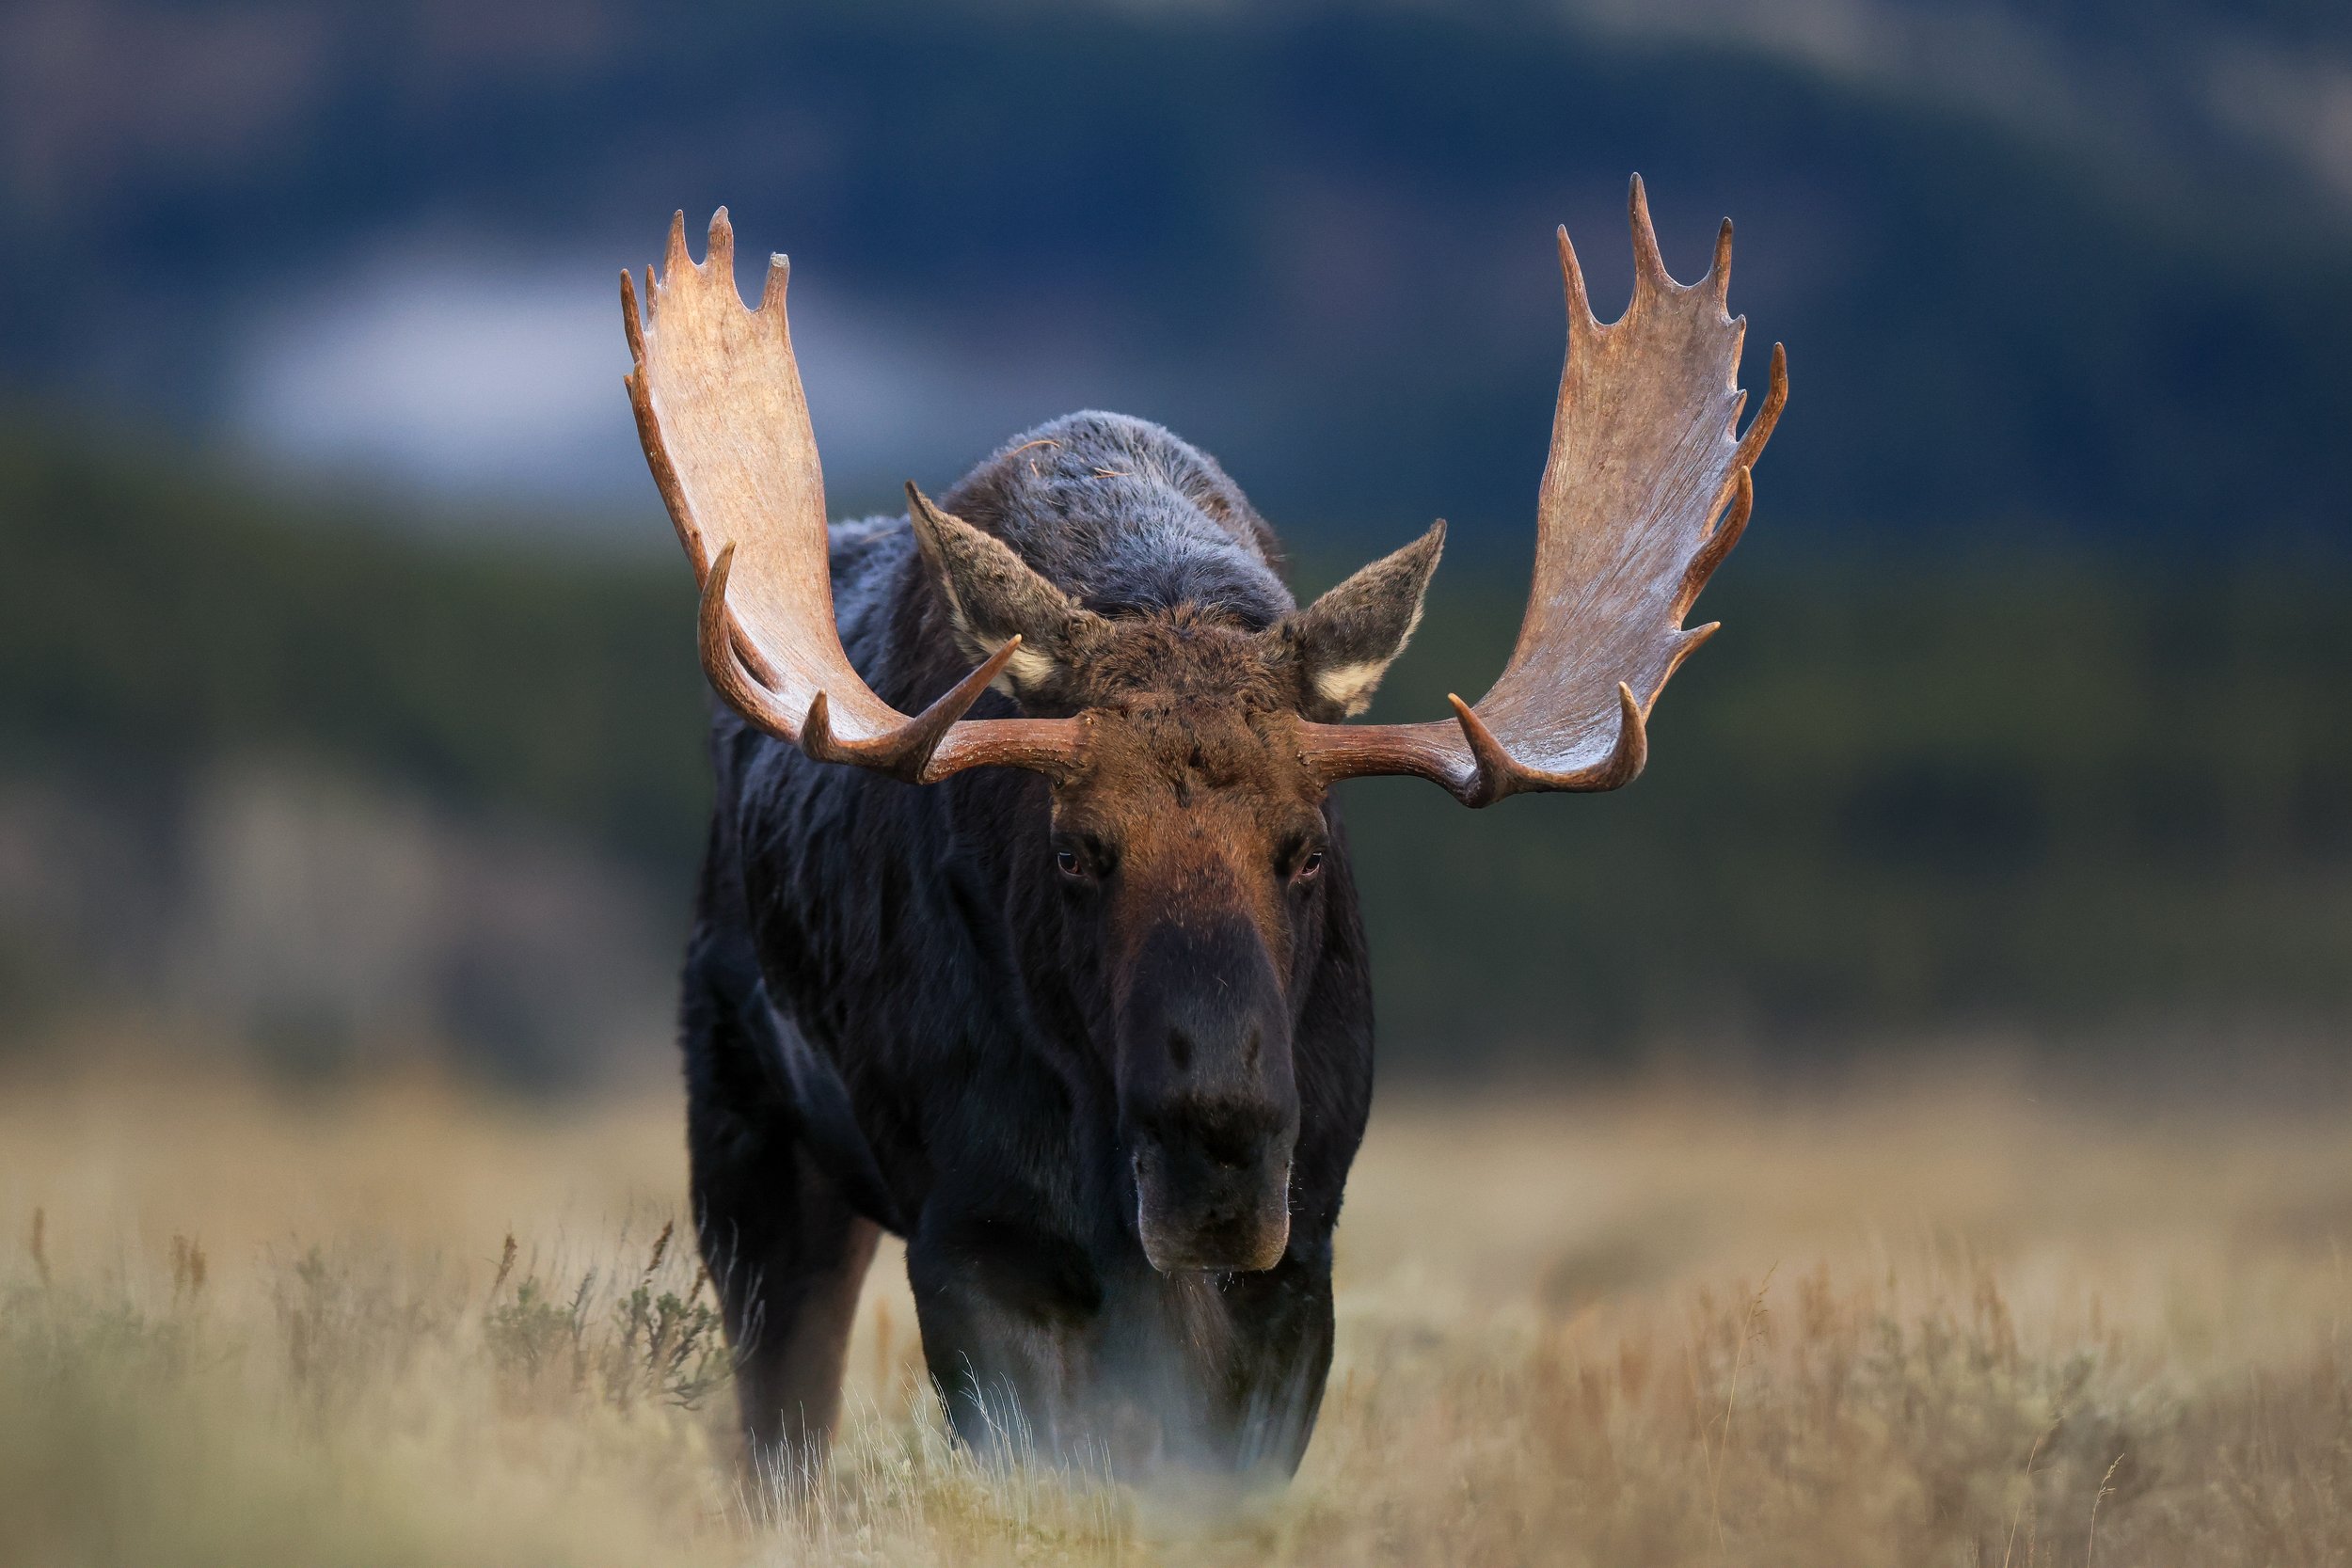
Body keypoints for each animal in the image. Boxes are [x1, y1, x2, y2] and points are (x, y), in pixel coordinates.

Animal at [619, 175, 1784, 1489]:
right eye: (1074, 848)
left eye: (1309, 845)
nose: (1215, 1142)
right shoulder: (977, 1237)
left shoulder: (1301, 1256)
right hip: (747, 1137)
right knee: (779, 1429)